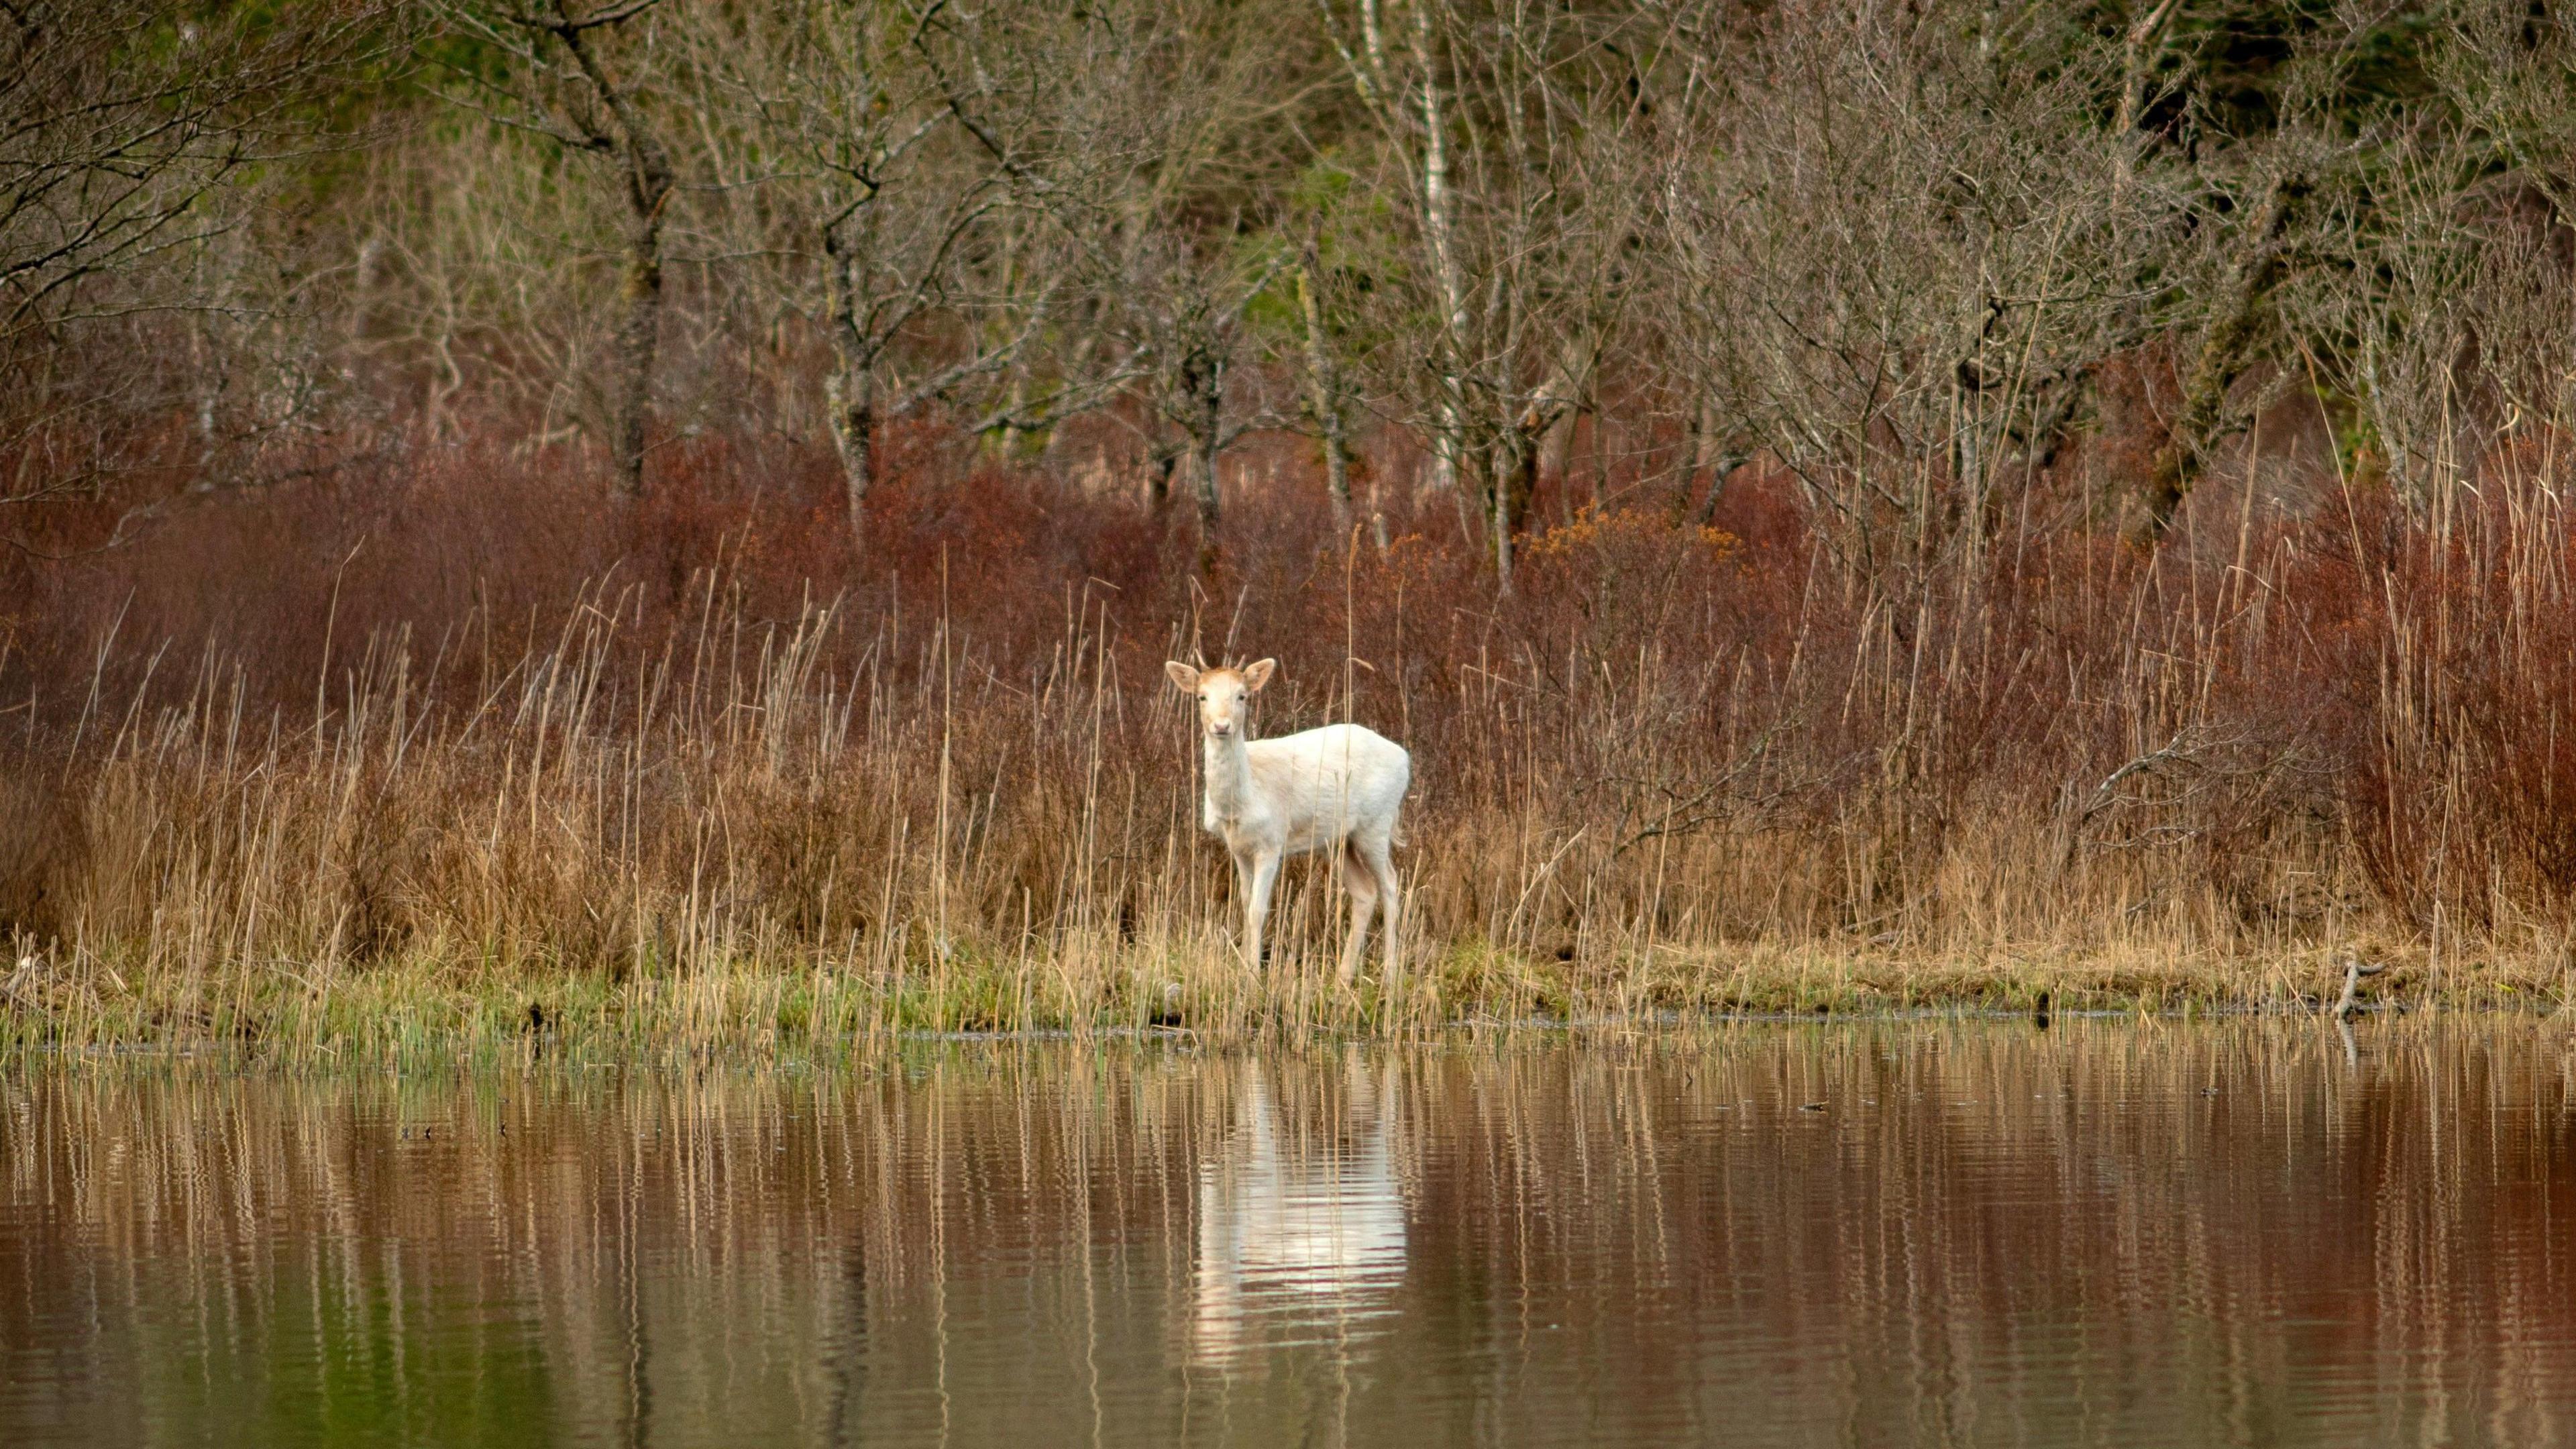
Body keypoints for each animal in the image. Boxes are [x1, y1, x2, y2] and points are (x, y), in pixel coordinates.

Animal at [1165, 658, 1410, 984]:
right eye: (1201, 697)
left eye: (1242, 696)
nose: (1222, 726)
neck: (1242, 802)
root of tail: (1404, 758)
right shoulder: (1239, 849)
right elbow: (1245, 905)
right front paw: (1244, 967)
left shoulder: (1271, 843)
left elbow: (1258, 909)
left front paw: (1253, 975)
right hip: (1336, 842)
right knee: (1365, 892)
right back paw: (1344, 975)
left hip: (1377, 824)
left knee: (1391, 886)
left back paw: (1390, 975)